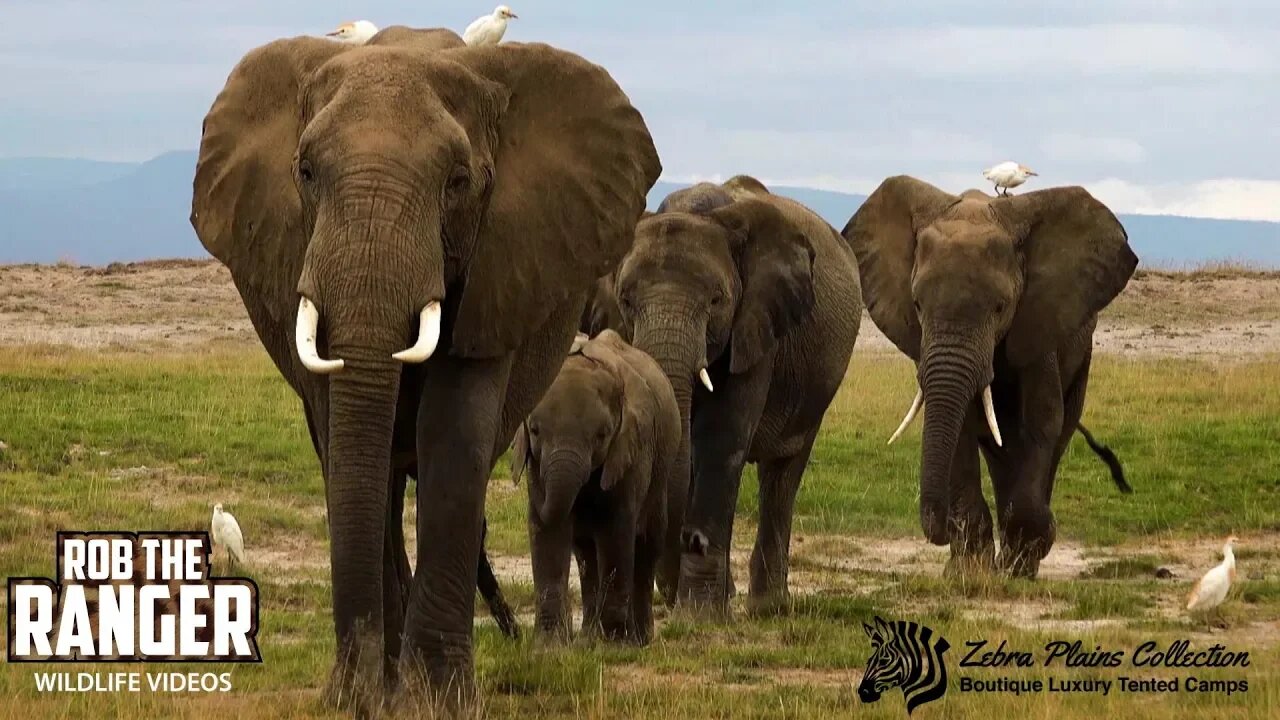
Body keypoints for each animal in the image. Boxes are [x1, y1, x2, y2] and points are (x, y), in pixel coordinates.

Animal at [194, 30, 665, 707]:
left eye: (458, 181)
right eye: (305, 172)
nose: (354, 691)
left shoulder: (503, 264)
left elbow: (454, 431)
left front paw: (435, 701)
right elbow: (345, 439)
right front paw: (363, 701)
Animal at [514, 330, 686, 638]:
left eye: (602, 435)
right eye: (533, 430)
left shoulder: (633, 450)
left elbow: (615, 530)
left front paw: (614, 643)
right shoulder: (536, 463)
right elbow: (548, 536)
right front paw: (549, 644)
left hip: (660, 473)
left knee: (646, 545)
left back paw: (638, 639)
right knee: (586, 553)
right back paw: (588, 639)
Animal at [609, 176, 860, 614]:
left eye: (716, 301)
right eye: (625, 300)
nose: (691, 540)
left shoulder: (757, 324)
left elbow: (720, 438)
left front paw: (699, 613)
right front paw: (694, 602)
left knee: (782, 476)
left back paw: (767, 607)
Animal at [844, 176, 1136, 573]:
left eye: (1000, 307)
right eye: (917, 304)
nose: (936, 530)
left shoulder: (1038, 324)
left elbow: (1041, 422)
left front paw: (1019, 562)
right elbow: (962, 429)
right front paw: (967, 571)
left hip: (1082, 359)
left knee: (1051, 437)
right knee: (999, 450)